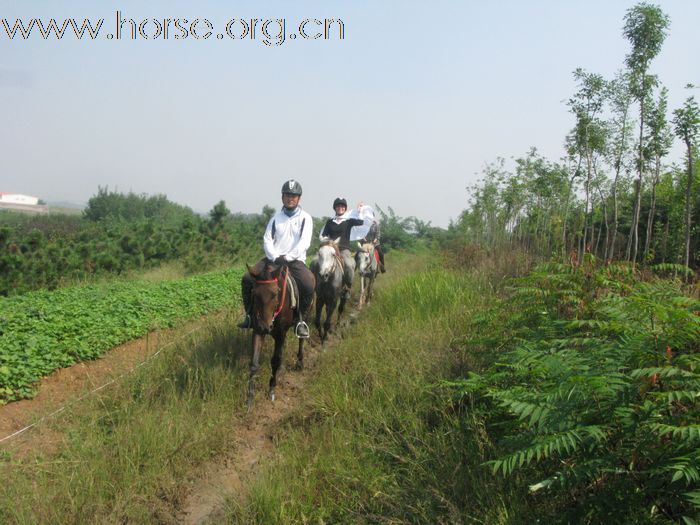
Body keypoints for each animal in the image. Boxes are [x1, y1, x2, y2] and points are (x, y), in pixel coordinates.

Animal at [246, 260, 306, 408]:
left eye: (274, 294)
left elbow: (275, 361)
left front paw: (272, 389)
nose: (265, 327)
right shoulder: (257, 331)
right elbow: (254, 362)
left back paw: (300, 362)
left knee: (301, 339)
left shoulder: (280, 333)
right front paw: (250, 399)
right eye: (254, 294)